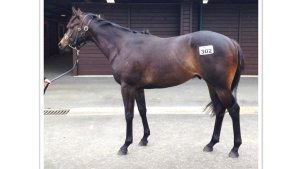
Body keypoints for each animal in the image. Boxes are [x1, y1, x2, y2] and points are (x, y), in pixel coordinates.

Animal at [58, 7, 244, 158]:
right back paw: (211, 144)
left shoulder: (127, 87)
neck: (123, 45)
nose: (61, 44)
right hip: (213, 85)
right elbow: (142, 110)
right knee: (220, 109)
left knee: (233, 109)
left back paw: (235, 149)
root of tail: (232, 42)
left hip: (220, 86)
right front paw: (144, 138)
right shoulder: (138, 88)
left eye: (72, 26)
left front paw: (125, 145)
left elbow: (129, 114)